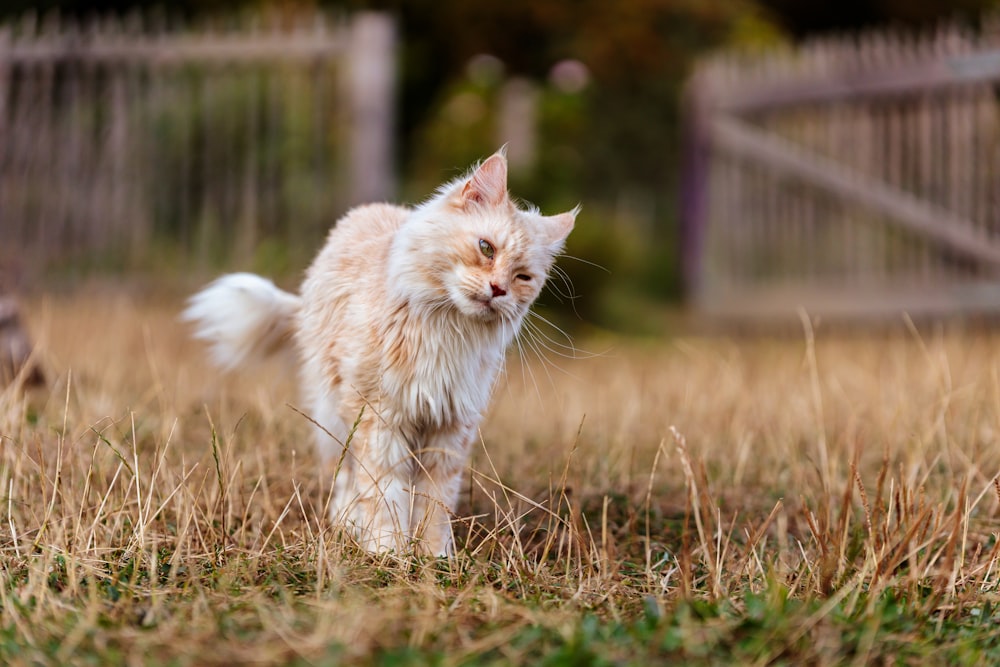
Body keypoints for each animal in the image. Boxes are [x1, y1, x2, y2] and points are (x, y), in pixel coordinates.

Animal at [186, 149, 580, 556]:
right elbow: (384, 494)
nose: (499, 289)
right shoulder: (380, 419)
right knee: (344, 476)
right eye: (486, 248)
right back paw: (348, 524)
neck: (447, 329)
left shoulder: (451, 428)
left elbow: (435, 501)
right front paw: (387, 550)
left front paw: (434, 556)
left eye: (523, 278)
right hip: (333, 414)